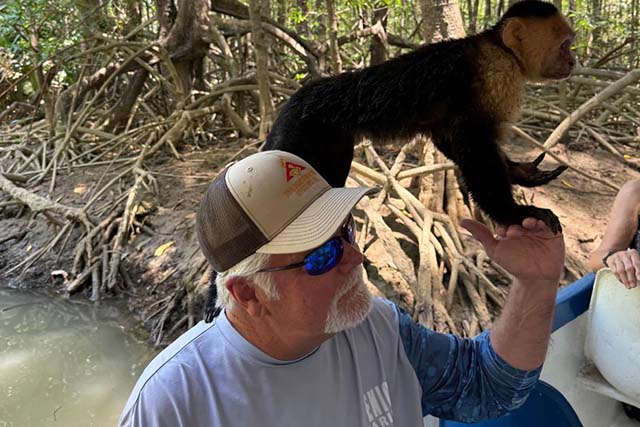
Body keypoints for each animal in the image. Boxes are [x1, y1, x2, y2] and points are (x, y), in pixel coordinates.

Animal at [262, 0, 575, 233]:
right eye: (565, 45)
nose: (574, 61)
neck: (502, 48)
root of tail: (292, 102)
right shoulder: (498, 74)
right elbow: (474, 145)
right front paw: (514, 213)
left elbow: (448, 137)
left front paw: (521, 173)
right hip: (300, 134)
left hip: (327, 142)